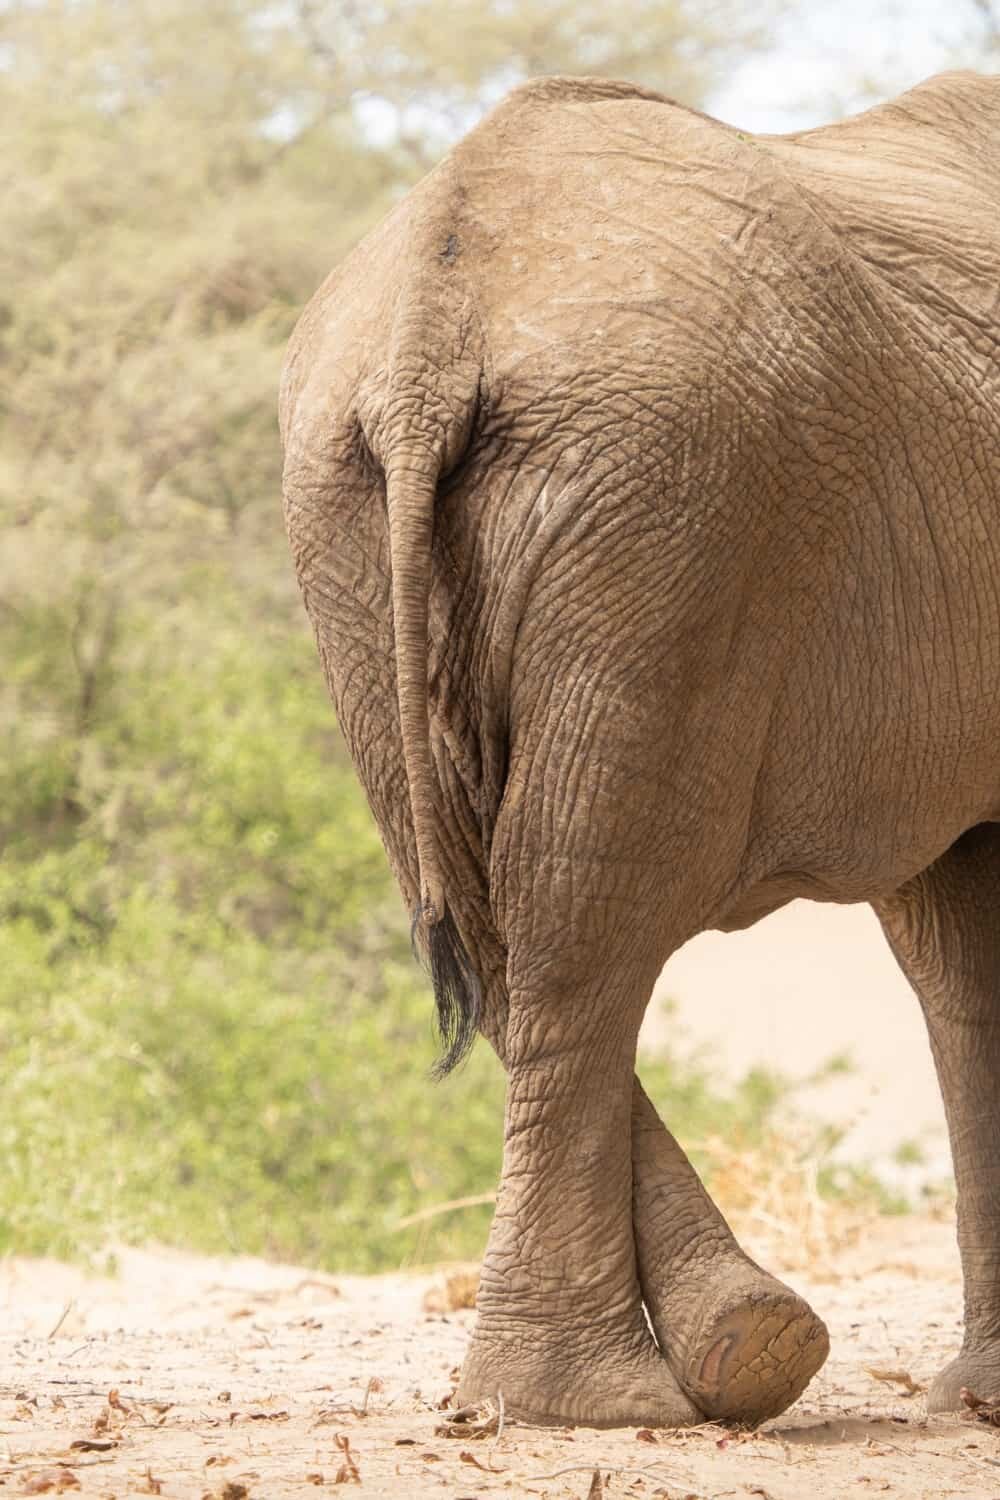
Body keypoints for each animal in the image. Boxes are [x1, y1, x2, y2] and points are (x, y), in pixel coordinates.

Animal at [277, 73, 1000, 1428]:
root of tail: (428, 324)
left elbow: (959, 949)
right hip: (677, 509)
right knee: (586, 909)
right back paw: (620, 1395)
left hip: (362, 521)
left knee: (491, 914)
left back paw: (704, 1360)